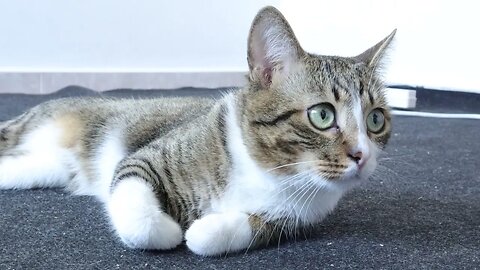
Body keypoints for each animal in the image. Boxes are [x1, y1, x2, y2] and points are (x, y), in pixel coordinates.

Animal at [0, 6, 394, 255]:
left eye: (376, 120)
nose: (363, 155)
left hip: (41, 168)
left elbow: (231, 233)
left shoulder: (294, 219)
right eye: (322, 115)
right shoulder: (148, 157)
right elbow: (137, 209)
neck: (271, 172)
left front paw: (204, 229)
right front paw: (169, 230)